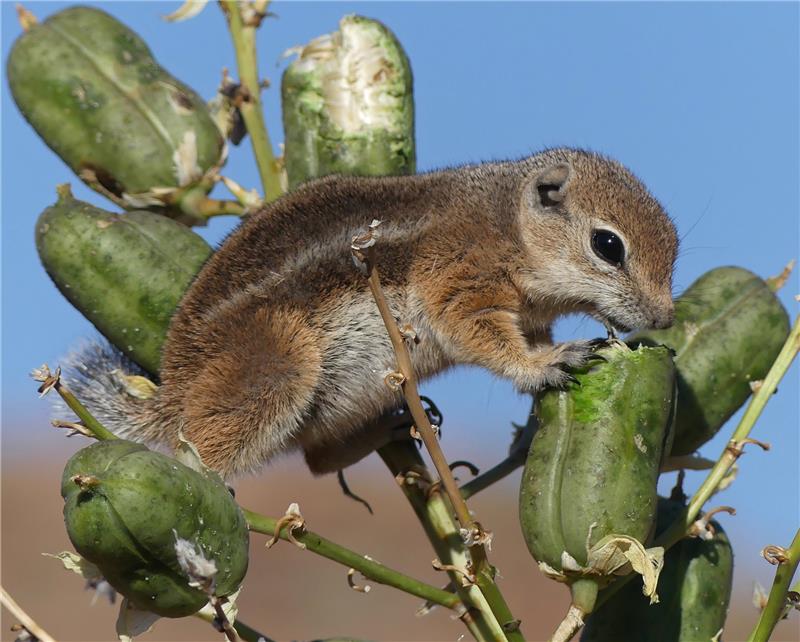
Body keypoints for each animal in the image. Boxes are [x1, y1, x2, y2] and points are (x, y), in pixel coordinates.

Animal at [63, 148, 678, 479]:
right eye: (608, 246)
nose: (666, 318)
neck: (509, 227)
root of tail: (174, 388)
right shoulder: (459, 277)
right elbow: (476, 335)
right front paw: (544, 364)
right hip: (279, 363)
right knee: (201, 446)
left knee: (317, 457)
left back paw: (393, 423)